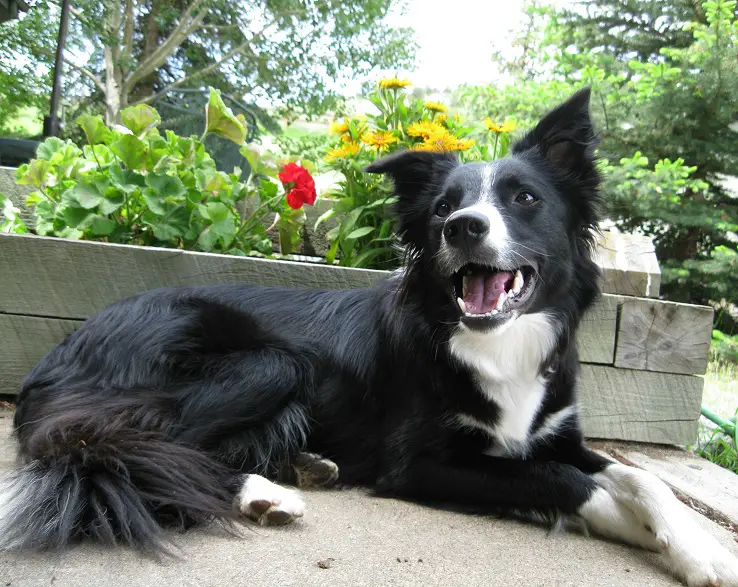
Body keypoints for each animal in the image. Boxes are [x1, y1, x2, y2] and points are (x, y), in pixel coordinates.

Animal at [1, 89, 736, 584]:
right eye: (442, 208)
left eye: (525, 198)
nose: (463, 227)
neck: (494, 344)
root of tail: (65, 347)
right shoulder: (419, 462)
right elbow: (565, 482)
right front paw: (647, 532)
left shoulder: (555, 433)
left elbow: (641, 480)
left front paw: (700, 546)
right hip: (269, 364)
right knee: (121, 450)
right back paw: (265, 492)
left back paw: (299, 468)